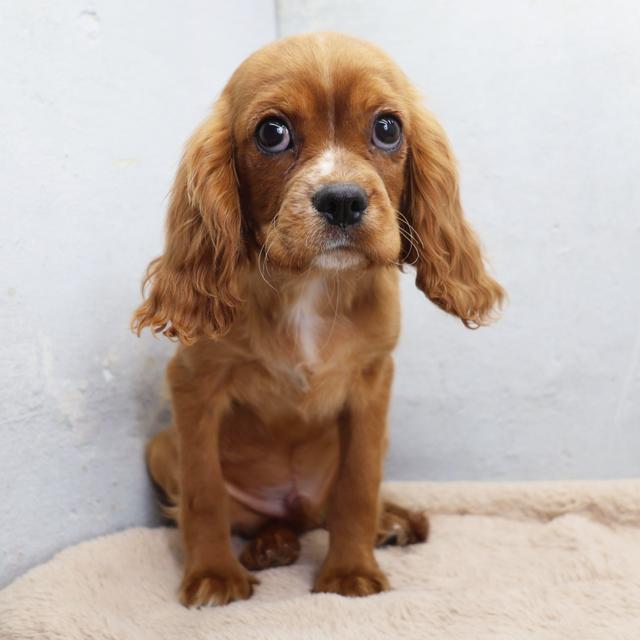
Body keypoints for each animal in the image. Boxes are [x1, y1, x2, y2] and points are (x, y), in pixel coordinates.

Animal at [135, 32, 504, 608]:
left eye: (387, 128)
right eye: (272, 133)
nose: (343, 200)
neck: (309, 284)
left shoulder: (372, 384)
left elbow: (358, 485)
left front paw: (350, 572)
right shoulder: (195, 383)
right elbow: (203, 490)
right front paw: (213, 575)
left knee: (333, 509)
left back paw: (390, 523)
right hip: (160, 449)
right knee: (267, 519)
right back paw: (270, 545)